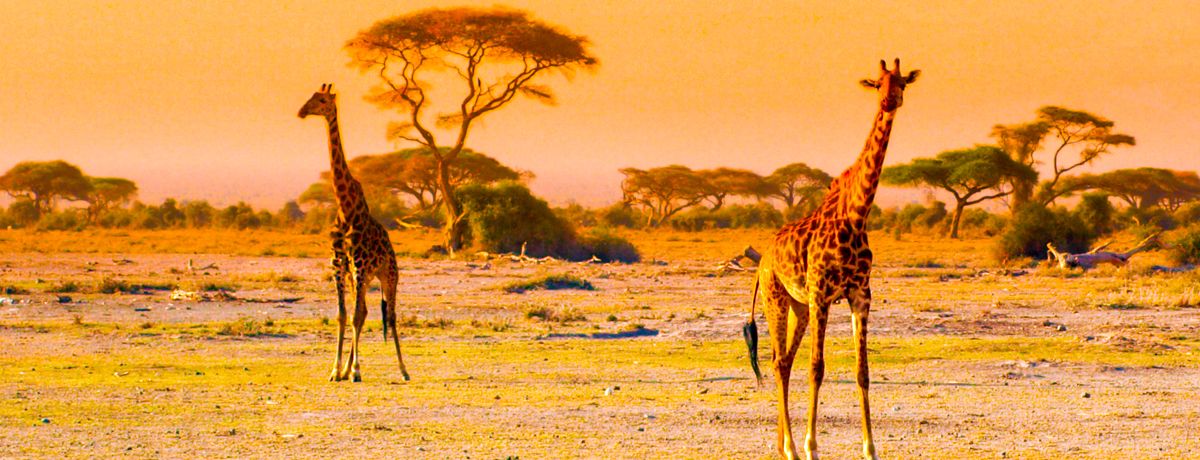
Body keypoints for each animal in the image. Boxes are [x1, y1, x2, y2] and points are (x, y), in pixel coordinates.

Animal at [297, 84, 410, 384]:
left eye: (321, 100)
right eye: (310, 97)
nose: (301, 111)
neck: (345, 208)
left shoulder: (358, 263)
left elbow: (356, 316)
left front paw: (356, 370)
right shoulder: (339, 264)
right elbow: (343, 314)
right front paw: (337, 370)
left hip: (388, 275)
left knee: (391, 315)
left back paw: (403, 370)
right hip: (362, 275)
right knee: (367, 310)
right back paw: (348, 369)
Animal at [739, 59, 916, 458]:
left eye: (901, 83)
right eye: (876, 84)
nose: (889, 101)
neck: (856, 214)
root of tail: (763, 261)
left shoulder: (859, 295)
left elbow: (862, 370)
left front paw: (870, 448)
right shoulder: (821, 294)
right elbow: (817, 368)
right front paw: (811, 446)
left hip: (798, 307)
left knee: (784, 361)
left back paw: (781, 446)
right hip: (776, 299)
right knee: (779, 361)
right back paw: (791, 447)